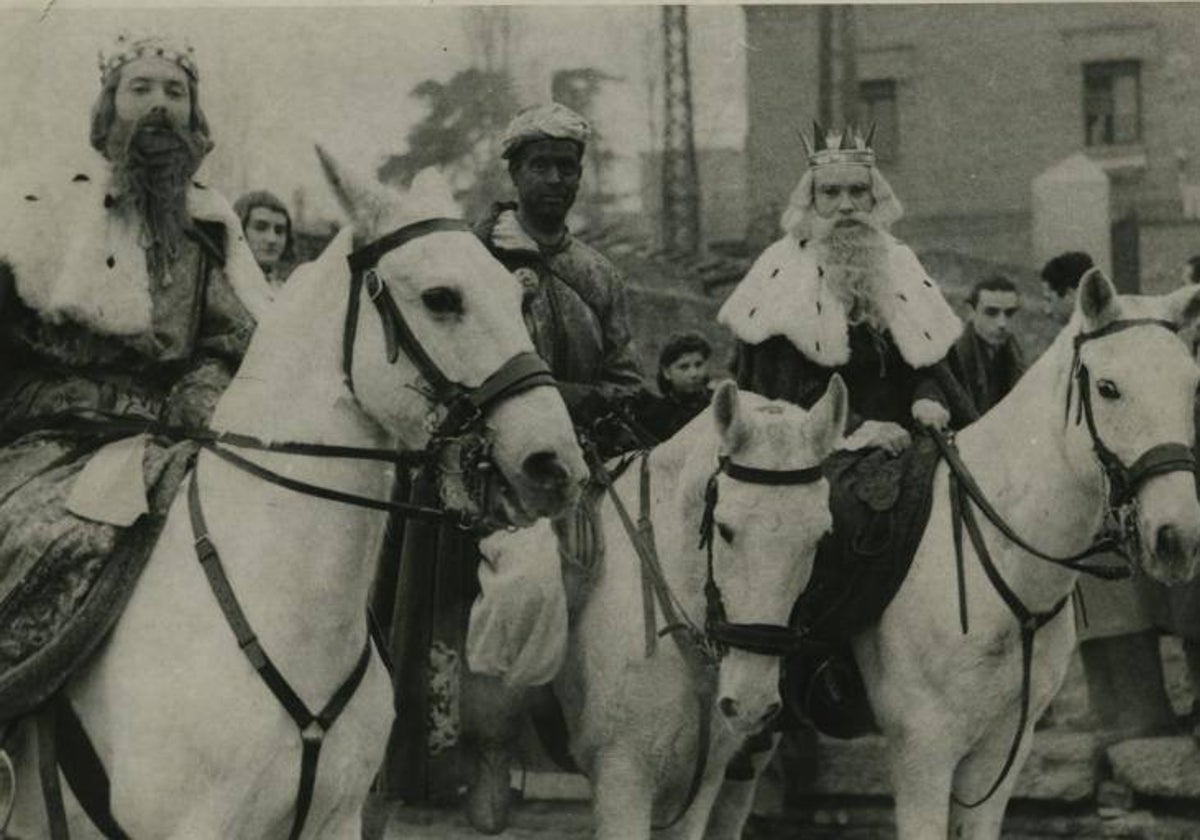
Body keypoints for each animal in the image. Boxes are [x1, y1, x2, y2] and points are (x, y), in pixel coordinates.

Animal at [710, 272, 1200, 835]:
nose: (1178, 538)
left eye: (1192, 387)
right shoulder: (924, 750)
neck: (1001, 560)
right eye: (1108, 388)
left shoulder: (1001, 751)